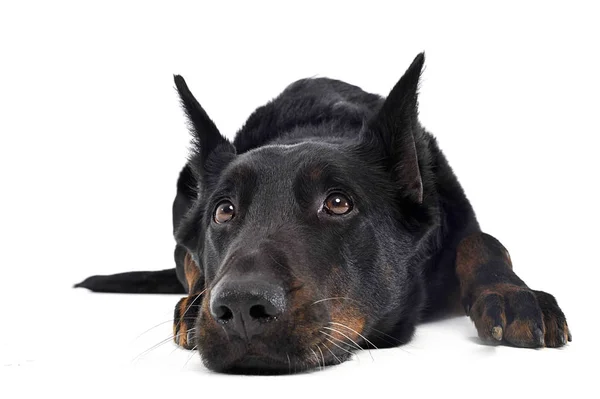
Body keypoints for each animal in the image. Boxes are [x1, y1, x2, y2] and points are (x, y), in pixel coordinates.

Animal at [76, 53, 572, 376]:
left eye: (337, 203)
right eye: (224, 211)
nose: (240, 308)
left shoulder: (457, 218)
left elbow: (482, 241)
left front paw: (510, 293)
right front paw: (196, 305)